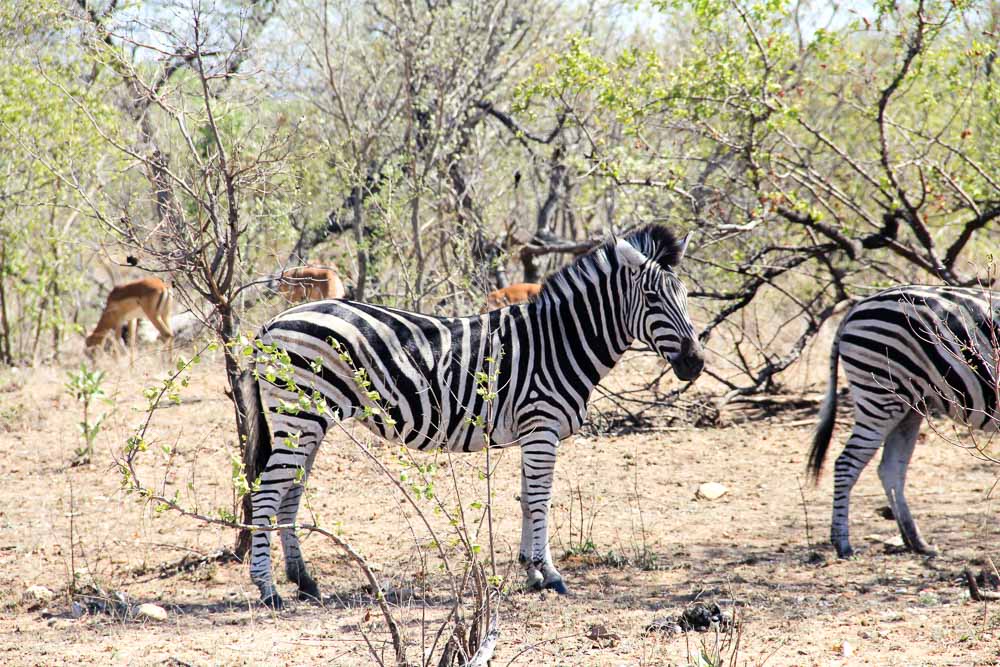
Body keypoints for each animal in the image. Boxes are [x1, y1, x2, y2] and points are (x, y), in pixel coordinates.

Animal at [236, 226, 704, 612]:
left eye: (686, 298)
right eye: (654, 300)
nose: (695, 364)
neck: (560, 341)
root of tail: (272, 323)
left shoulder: (533, 431)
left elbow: (525, 499)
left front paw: (531, 571)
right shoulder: (543, 425)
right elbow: (540, 499)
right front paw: (550, 574)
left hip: (309, 419)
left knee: (291, 493)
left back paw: (305, 582)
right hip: (298, 415)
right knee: (266, 493)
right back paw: (269, 589)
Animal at [808, 286, 996, 560]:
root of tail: (856, 307)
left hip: (910, 405)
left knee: (890, 468)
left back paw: (915, 541)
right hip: (880, 395)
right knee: (846, 463)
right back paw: (842, 544)